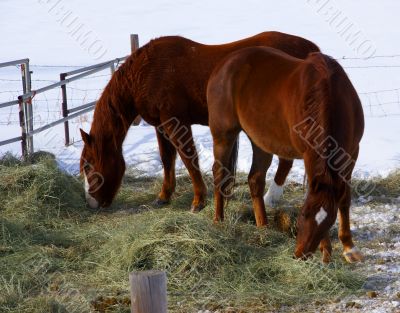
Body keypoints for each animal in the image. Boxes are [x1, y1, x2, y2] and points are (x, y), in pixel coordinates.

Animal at [80, 31, 318, 211]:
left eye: (89, 164)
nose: (91, 202)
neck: (148, 73)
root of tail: (310, 50)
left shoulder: (175, 121)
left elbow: (188, 159)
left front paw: (199, 200)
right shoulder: (160, 126)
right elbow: (167, 159)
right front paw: (164, 195)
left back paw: (270, 198)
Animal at [209, 46, 366, 260]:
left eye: (328, 221)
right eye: (303, 214)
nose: (300, 254)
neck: (329, 94)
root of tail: (225, 63)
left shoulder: (351, 153)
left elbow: (344, 198)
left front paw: (349, 247)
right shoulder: (309, 155)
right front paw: (327, 249)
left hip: (260, 141)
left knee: (255, 179)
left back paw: (263, 227)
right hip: (223, 136)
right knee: (219, 174)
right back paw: (218, 220)